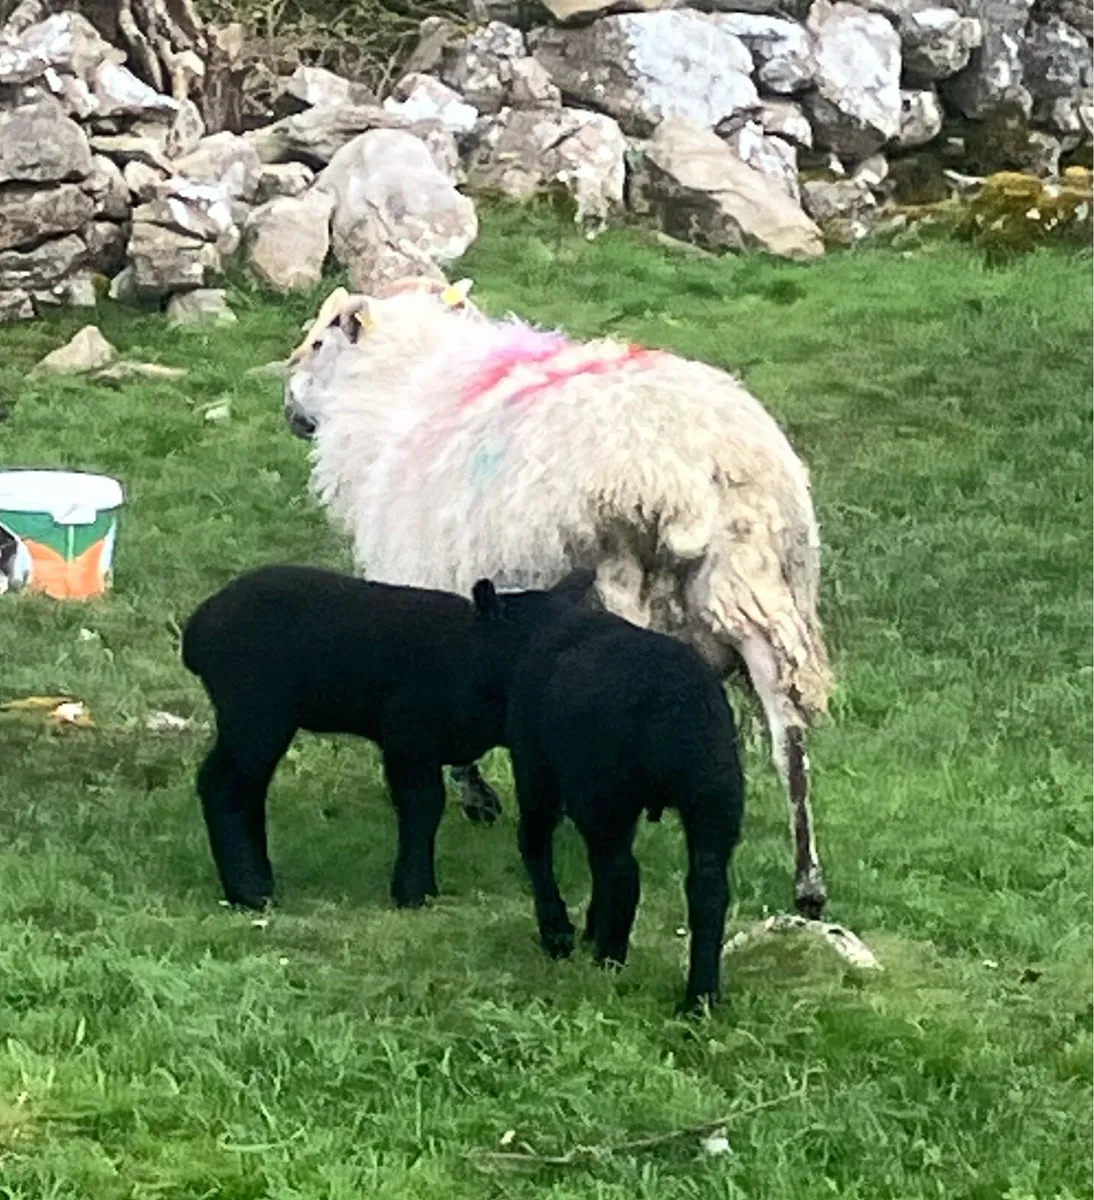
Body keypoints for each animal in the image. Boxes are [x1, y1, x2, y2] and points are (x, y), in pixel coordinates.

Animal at [181, 562, 597, 910]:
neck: (469, 655)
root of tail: (197, 628)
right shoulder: (408, 734)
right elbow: (423, 805)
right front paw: (415, 892)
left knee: (248, 788)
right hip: (255, 711)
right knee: (224, 784)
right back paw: (250, 891)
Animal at [282, 276, 833, 919]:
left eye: (319, 342)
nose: (290, 410)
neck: (402, 388)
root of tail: (696, 471)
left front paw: (477, 797)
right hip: (756, 595)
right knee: (789, 741)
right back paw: (808, 885)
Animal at [472, 576, 744, 1013]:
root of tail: (673, 707)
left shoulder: (537, 767)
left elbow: (534, 844)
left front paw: (559, 933)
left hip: (607, 791)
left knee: (622, 873)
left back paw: (610, 958)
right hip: (713, 795)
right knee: (707, 888)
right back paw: (699, 998)